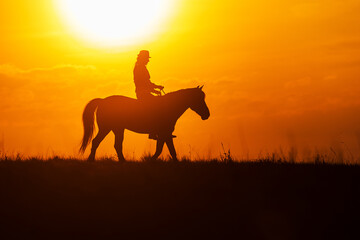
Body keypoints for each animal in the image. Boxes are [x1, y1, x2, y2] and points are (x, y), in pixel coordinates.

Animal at [77, 85, 210, 162]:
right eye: (199, 98)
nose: (207, 115)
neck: (169, 107)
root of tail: (102, 101)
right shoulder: (164, 133)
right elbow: (165, 150)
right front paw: (151, 160)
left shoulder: (165, 134)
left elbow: (167, 149)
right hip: (107, 128)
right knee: (97, 142)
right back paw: (92, 160)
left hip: (117, 129)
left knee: (115, 145)